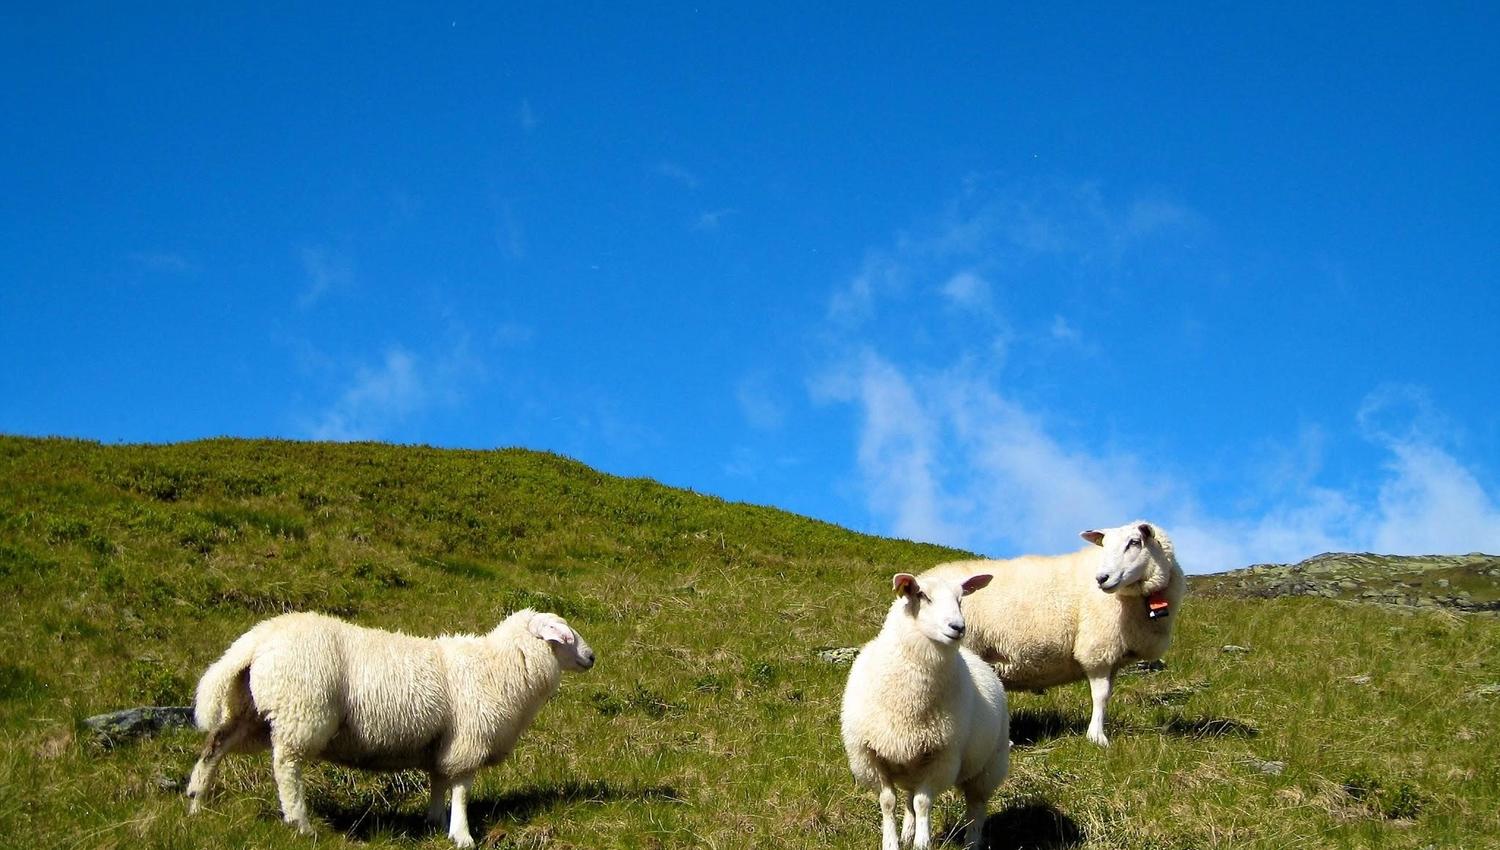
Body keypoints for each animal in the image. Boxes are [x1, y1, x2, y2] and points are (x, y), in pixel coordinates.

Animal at [185, 608, 595, 847]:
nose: (592, 657)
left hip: (248, 710)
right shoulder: (468, 739)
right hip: (301, 711)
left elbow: (438, 781)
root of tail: (257, 639)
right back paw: (301, 824)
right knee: (286, 767)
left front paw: (435, 821)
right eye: (566, 634)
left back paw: (196, 802)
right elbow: (461, 789)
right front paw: (461, 835)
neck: (500, 665)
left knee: (214, 747)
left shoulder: (443, 742)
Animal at [841, 571, 1010, 850]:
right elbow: (888, 802)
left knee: (975, 807)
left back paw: (971, 842)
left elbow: (923, 803)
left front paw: (922, 842)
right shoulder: (869, 756)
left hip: (988, 765)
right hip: (911, 764)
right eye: (922, 595)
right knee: (909, 799)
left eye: (961, 599)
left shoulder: (942, 756)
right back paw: (907, 833)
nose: (958, 627)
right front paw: (892, 842)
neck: (908, 704)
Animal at [921, 520, 1184, 747]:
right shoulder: (1097, 647)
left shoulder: (1113, 654)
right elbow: (1100, 695)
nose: (1102, 578)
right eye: (1105, 545)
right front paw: (1097, 737)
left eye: (1134, 542)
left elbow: (1107, 694)